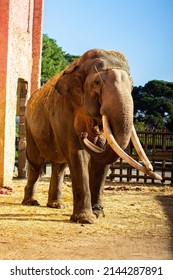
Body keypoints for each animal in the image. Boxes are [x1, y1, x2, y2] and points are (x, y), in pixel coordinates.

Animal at [21, 48, 161, 223]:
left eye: (132, 85)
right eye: (97, 82)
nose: (84, 135)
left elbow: (102, 157)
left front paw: (98, 214)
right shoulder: (64, 111)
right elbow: (77, 154)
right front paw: (86, 219)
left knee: (59, 166)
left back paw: (57, 205)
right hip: (30, 127)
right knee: (36, 162)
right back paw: (31, 202)